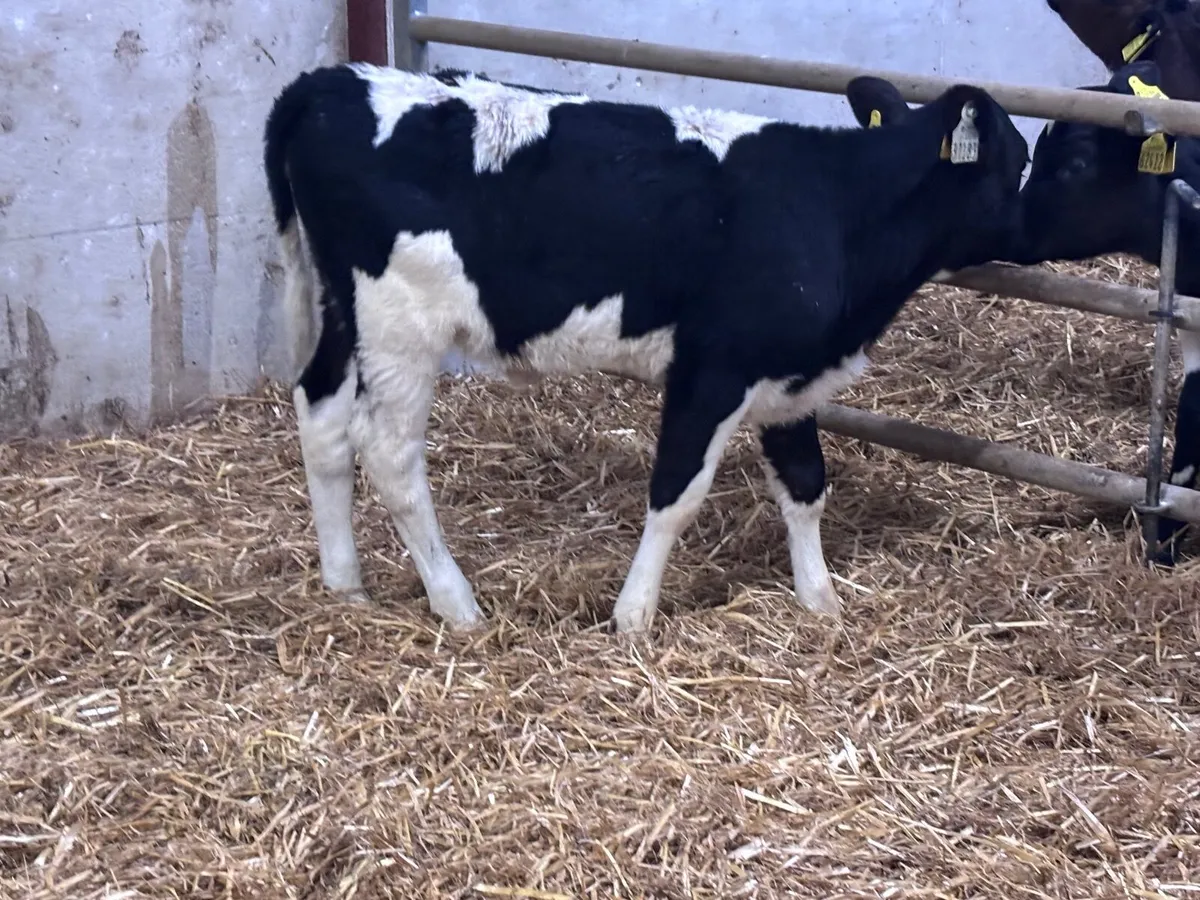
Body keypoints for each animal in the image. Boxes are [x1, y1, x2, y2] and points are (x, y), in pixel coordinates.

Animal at [262, 63, 1029, 633]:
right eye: (1019, 159)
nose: (1037, 228)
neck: (832, 202)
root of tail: (329, 81)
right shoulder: (712, 369)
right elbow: (676, 493)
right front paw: (634, 616)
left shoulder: (788, 376)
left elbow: (806, 484)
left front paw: (820, 602)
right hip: (399, 326)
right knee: (388, 454)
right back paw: (457, 604)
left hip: (343, 313)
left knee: (321, 416)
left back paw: (345, 585)